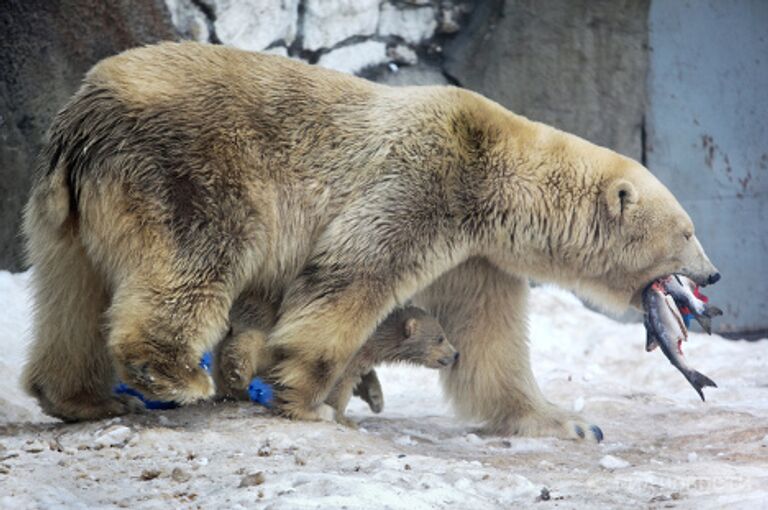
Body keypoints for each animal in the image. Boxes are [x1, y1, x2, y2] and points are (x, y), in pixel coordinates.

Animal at [22, 42, 720, 442]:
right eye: (688, 230)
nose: (711, 277)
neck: (497, 165)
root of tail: (85, 114)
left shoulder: (476, 255)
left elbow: (488, 338)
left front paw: (569, 422)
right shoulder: (423, 184)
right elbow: (351, 276)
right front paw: (304, 399)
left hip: (68, 208)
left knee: (70, 290)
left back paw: (80, 398)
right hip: (187, 171)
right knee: (195, 258)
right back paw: (172, 374)